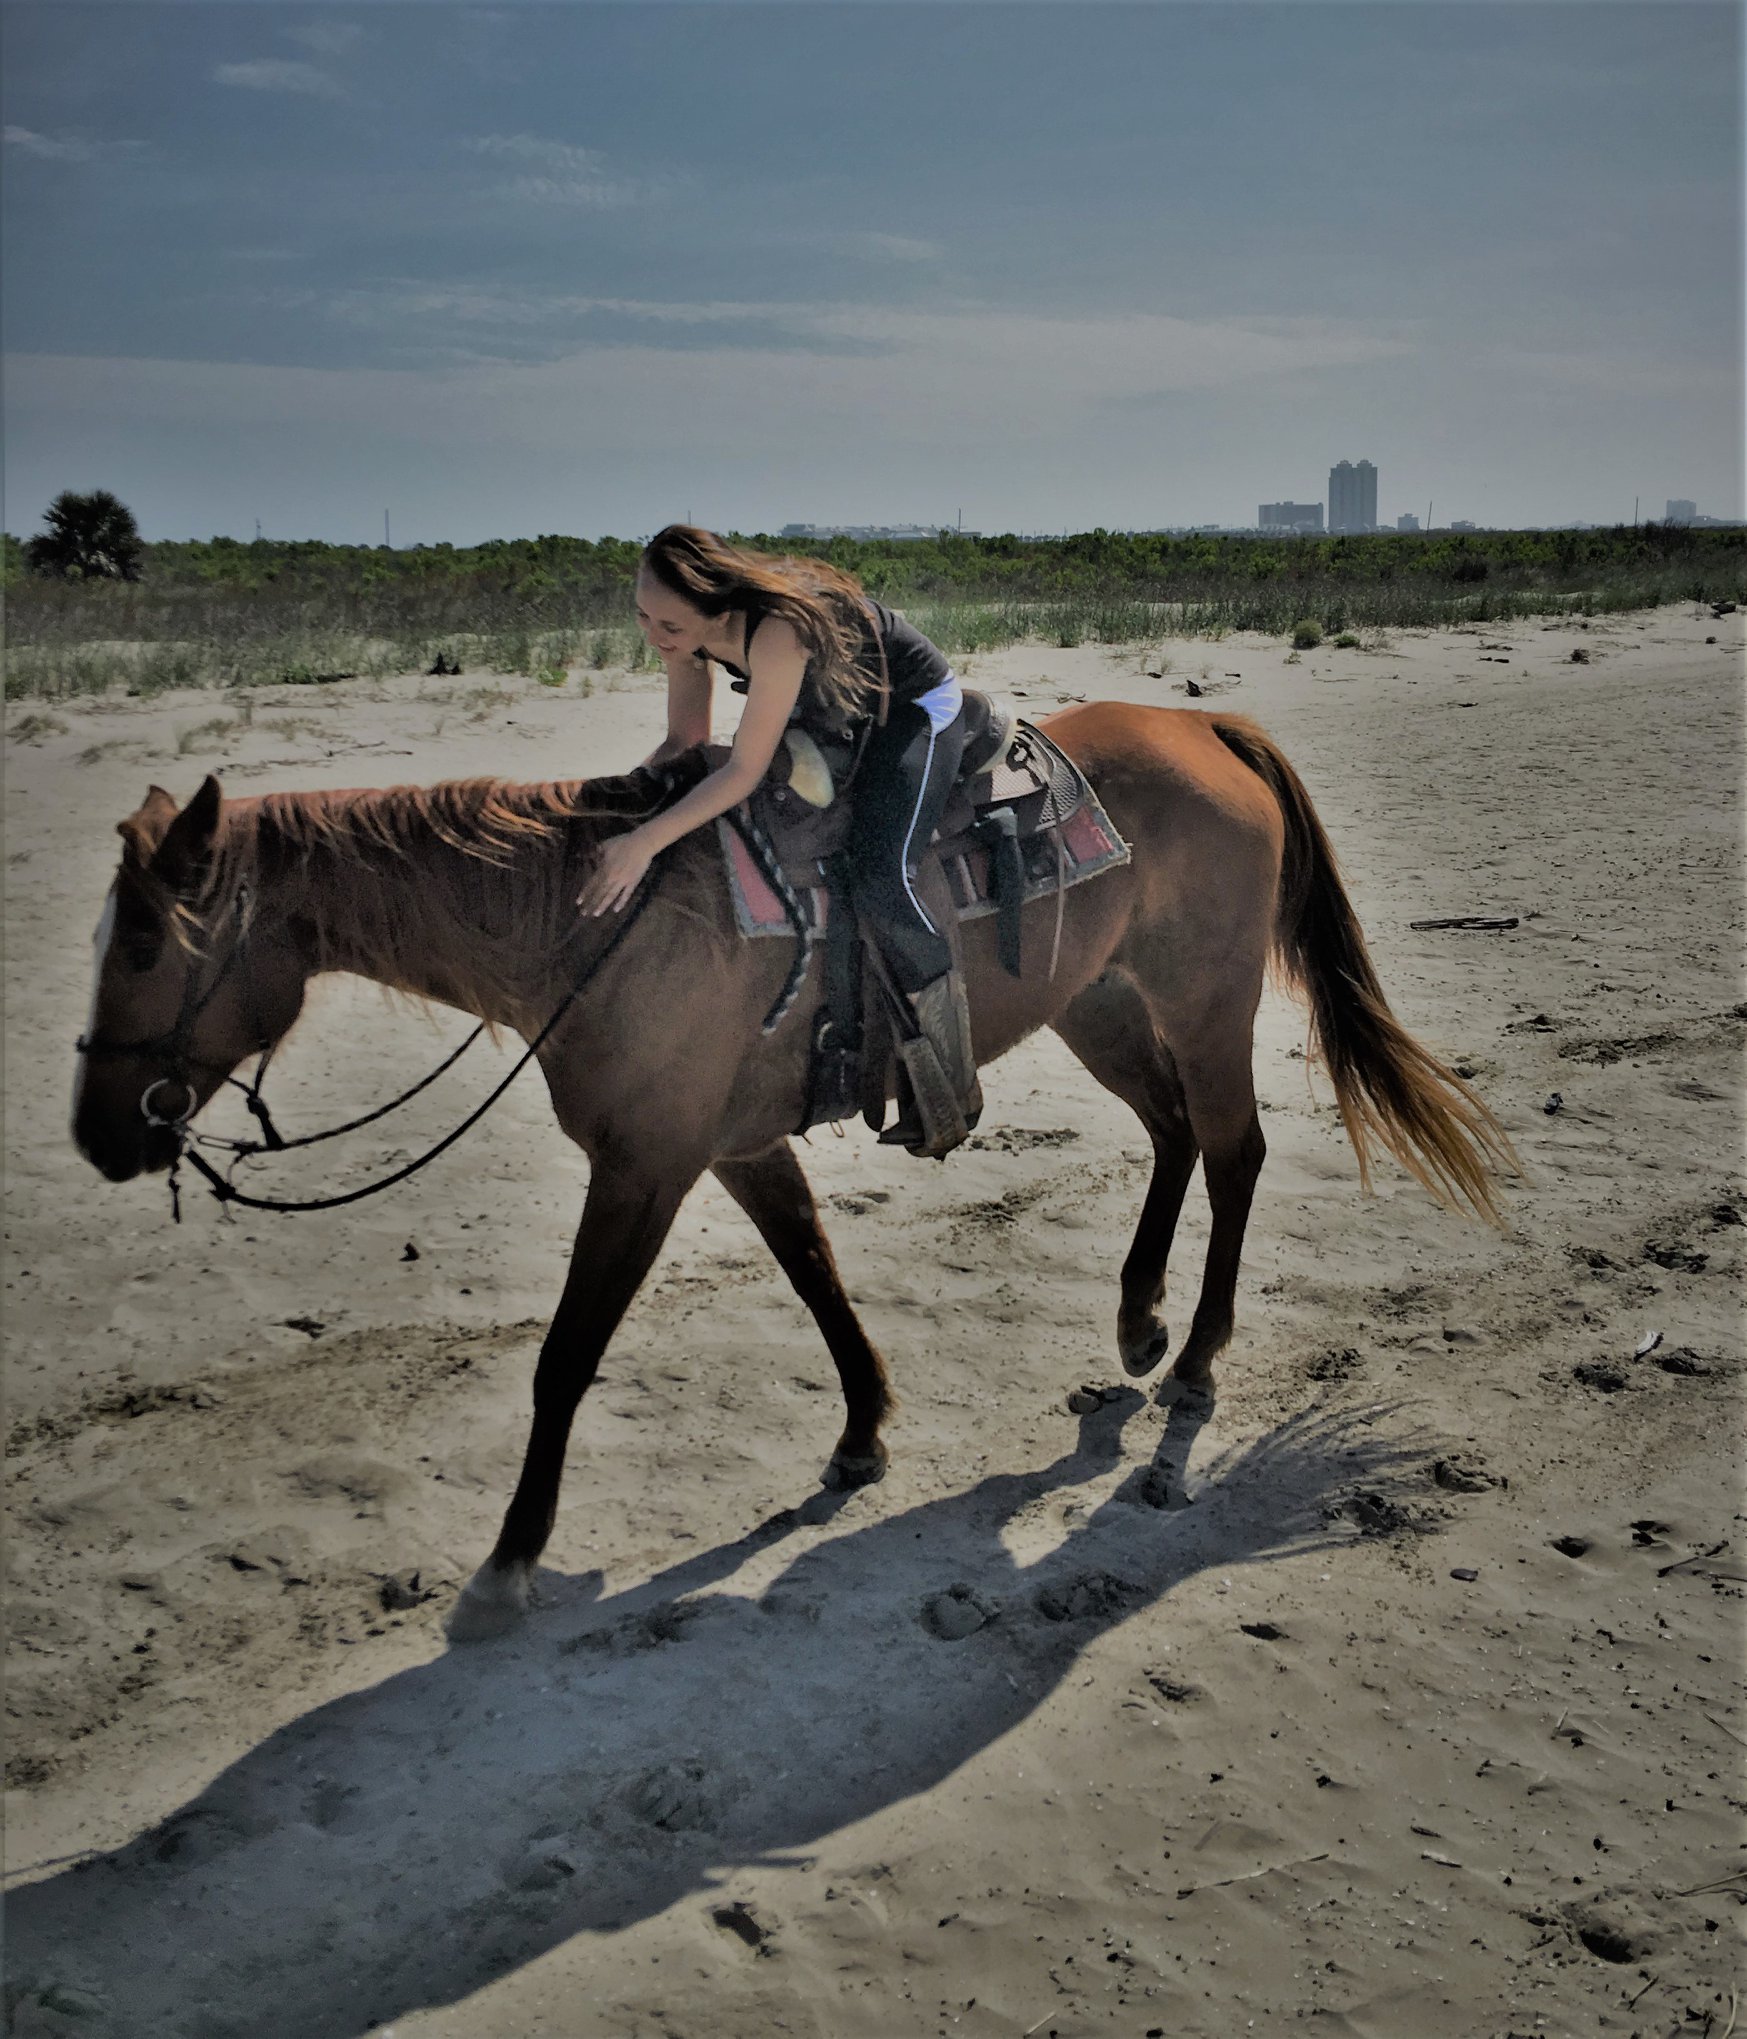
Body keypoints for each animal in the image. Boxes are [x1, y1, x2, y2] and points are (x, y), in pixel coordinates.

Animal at [70, 703, 1515, 1640]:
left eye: (143, 939)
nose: (97, 1133)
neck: (585, 921)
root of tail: (1209, 727)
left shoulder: (644, 1166)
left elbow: (565, 1356)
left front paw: (507, 1564)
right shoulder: (731, 1147)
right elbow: (815, 1270)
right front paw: (862, 1432)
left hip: (1201, 1000)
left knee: (1232, 1151)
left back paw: (1197, 1363)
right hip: (1097, 1001)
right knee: (1169, 1136)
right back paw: (1137, 1319)